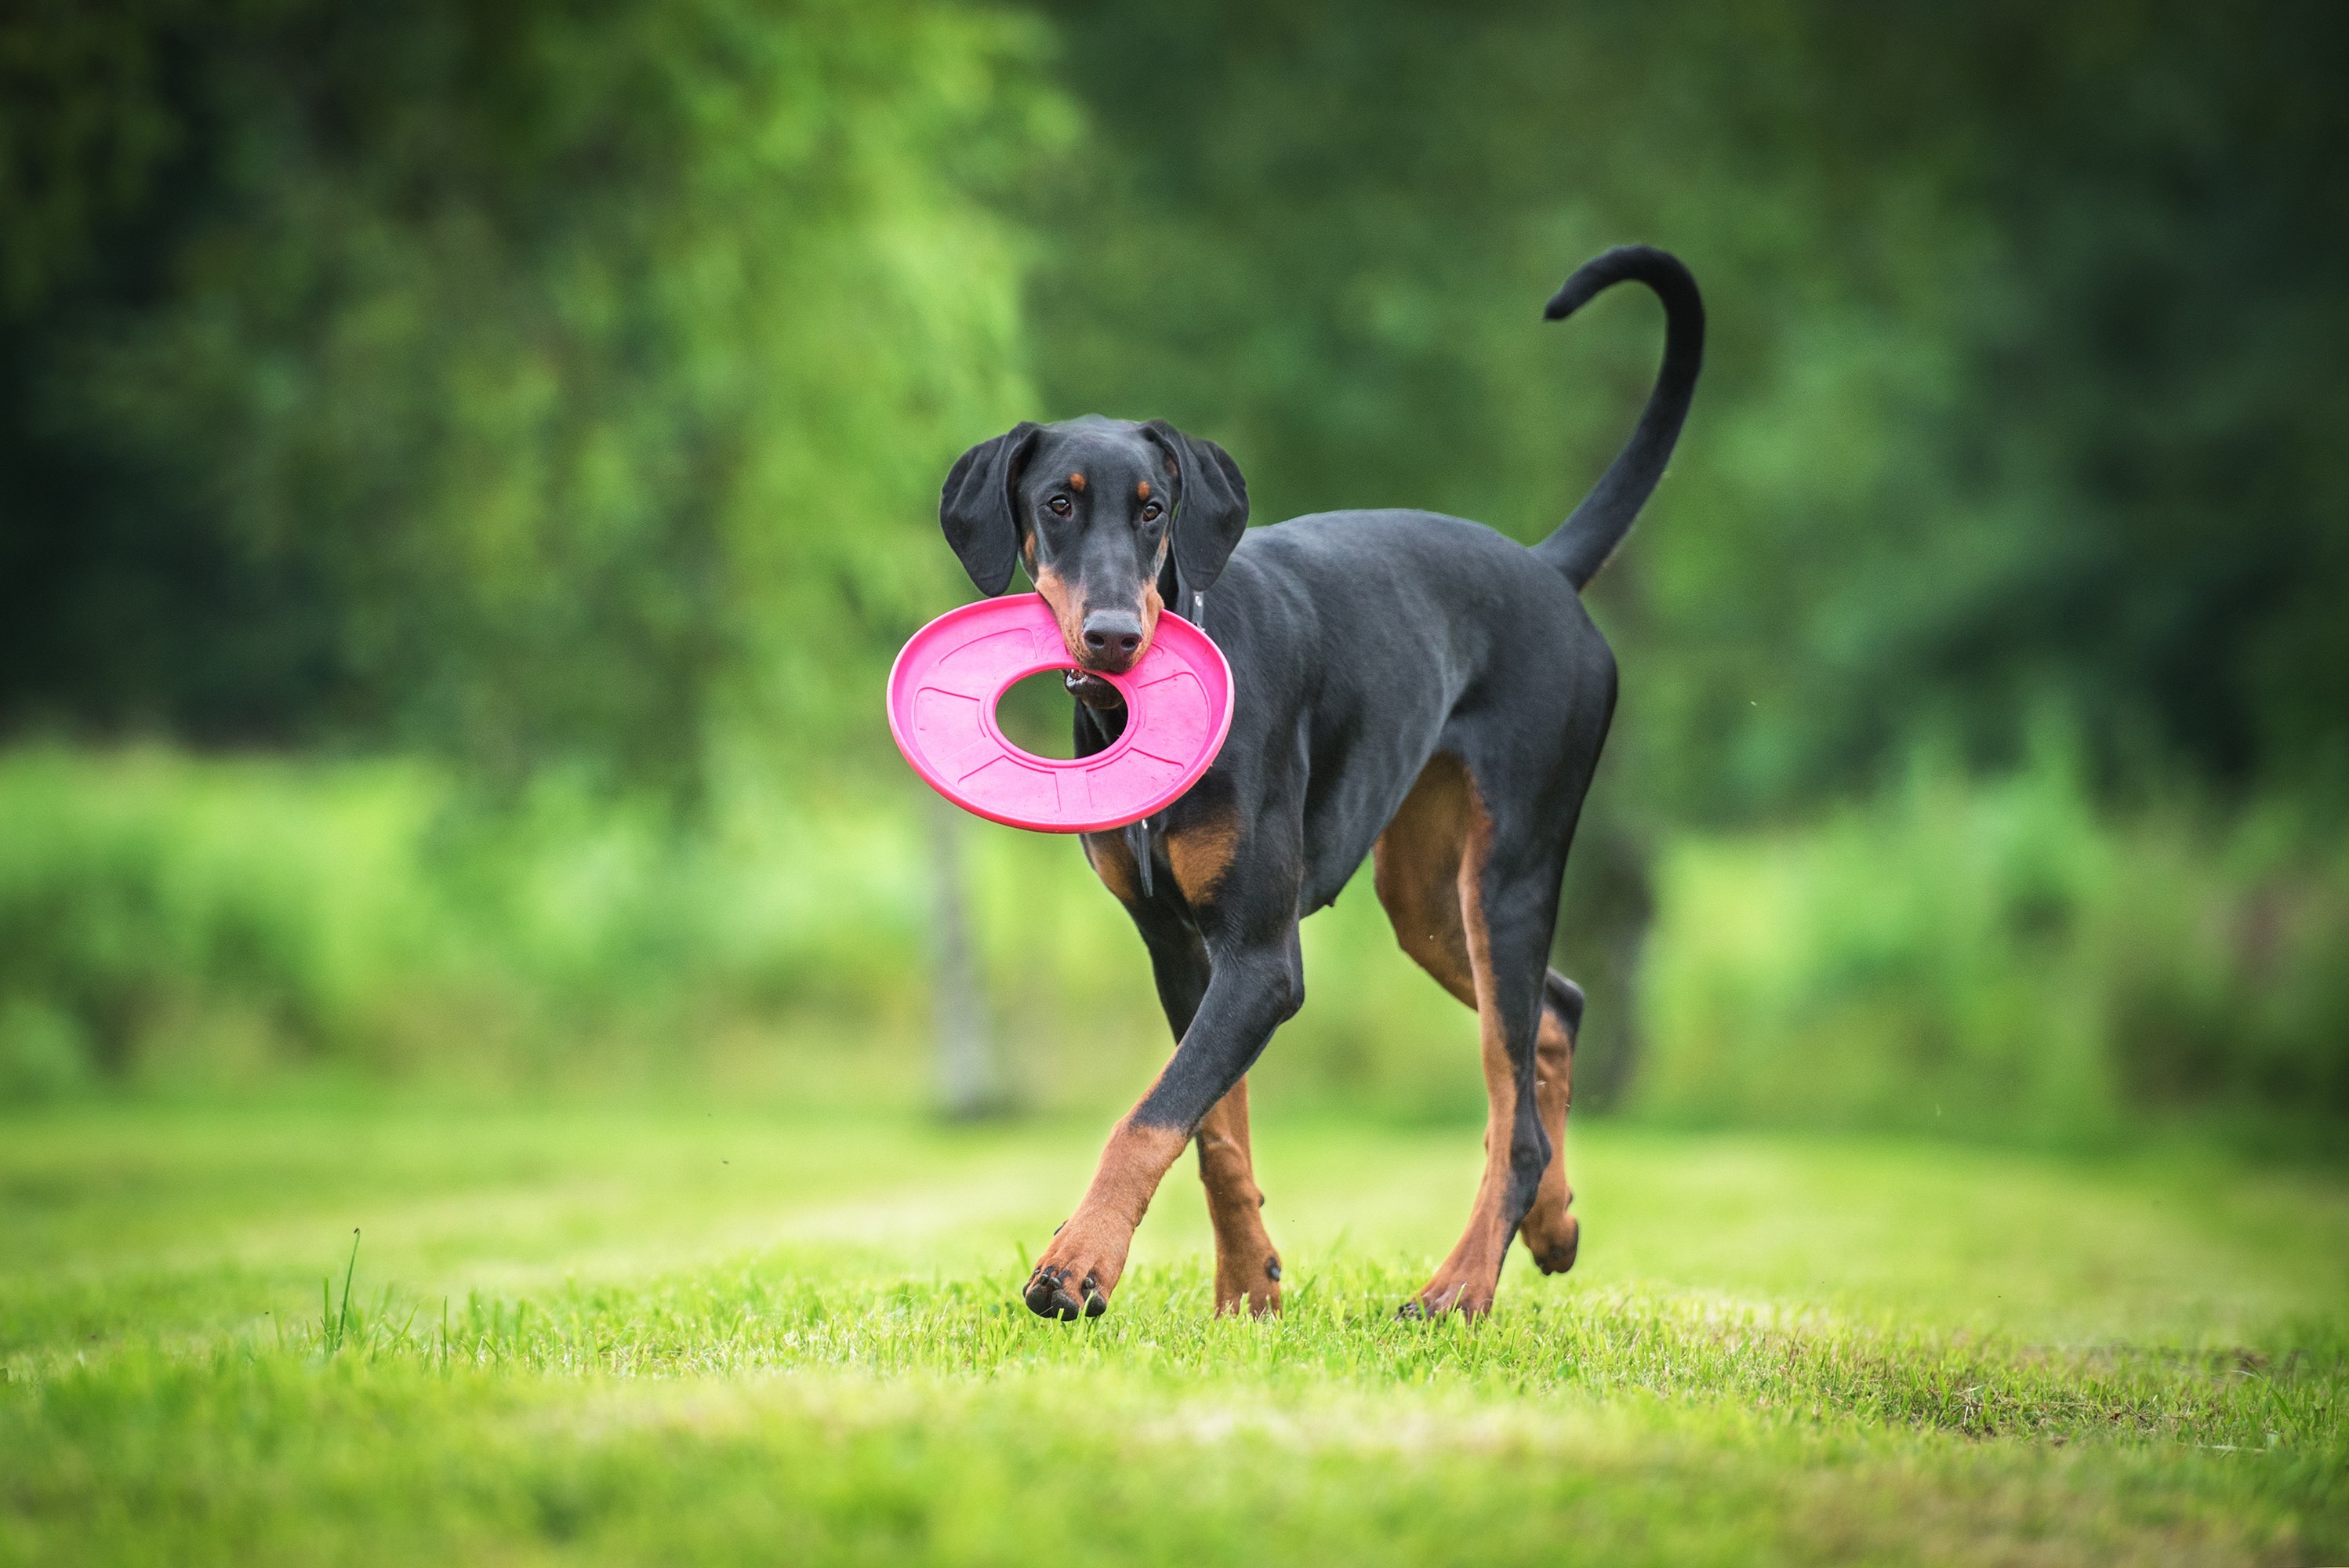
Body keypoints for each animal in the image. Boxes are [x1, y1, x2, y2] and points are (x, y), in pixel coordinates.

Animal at [935, 247, 1710, 1323]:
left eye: (1153, 509)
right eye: (1057, 503)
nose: (1114, 637)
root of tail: (1545, 570)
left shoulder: (1262, 960)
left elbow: (1150, 1115)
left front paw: (1077, 1263)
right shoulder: (1179, 947)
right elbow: (1212, 1127)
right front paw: (1247, 1287)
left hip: (1510, 869)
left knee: (1511, 1103)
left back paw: (1458, 1288)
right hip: (1425, 894)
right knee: (1553, 1015)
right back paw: (1551, 1226)